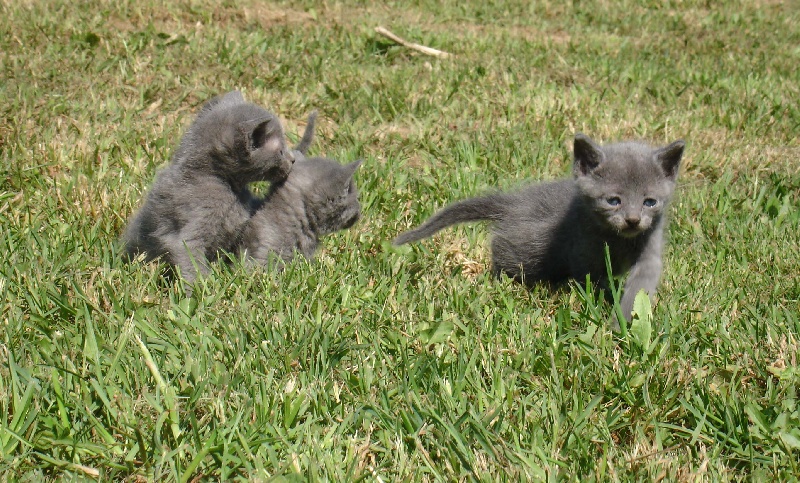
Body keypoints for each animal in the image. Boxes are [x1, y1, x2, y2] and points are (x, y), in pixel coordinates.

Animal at [394, 133, 680, 328]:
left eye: (649, 202)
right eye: (613, 201)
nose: (633, 220)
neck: (619, 240)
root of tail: (514, 202)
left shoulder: (649, 251)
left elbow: (641, 285)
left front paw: (626, 317)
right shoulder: (582, 251)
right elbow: (592, 279)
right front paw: (608, 305)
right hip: (529, 250)